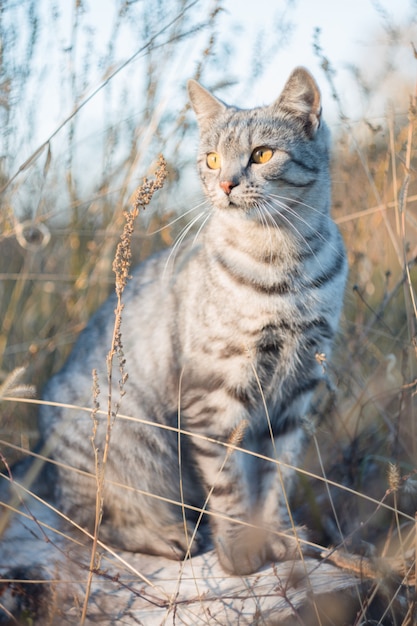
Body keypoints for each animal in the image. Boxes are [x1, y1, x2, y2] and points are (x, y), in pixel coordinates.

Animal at [39, 68, 346, 576]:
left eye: (262, 154)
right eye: (212, 159)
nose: (225, 185)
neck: (283, 265)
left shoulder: (296, 393)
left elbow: (275, 478)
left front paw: (279, 537)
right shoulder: (215, 396)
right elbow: (229, 483)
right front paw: (240, 549)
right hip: (125, 449)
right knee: (92, 524)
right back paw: (170, 535)